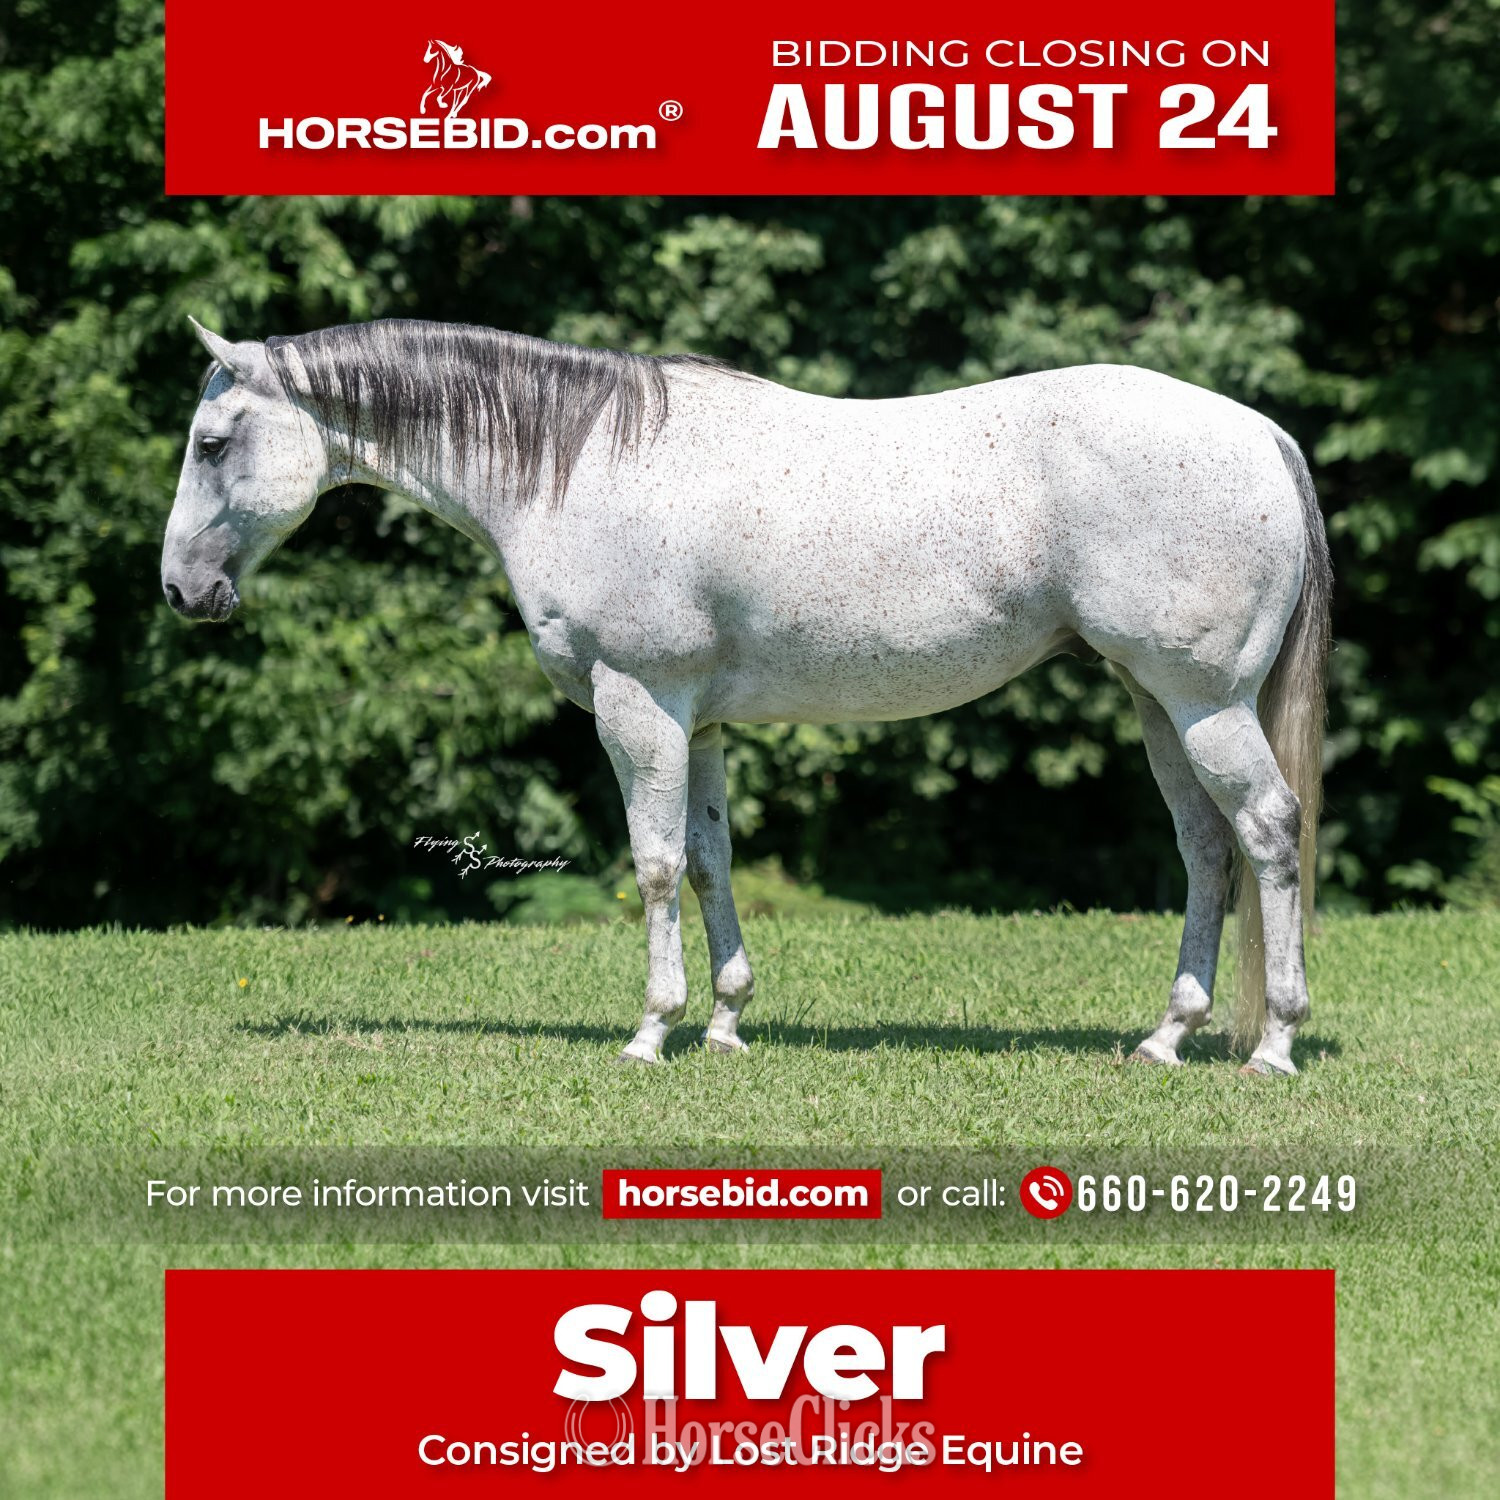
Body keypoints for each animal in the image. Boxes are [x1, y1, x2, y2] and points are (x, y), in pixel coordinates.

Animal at [161, 317, 1331, 1075]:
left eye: (213, 445)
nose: (182, 590)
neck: (583, 463)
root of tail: (1260, 433)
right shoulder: (703, 721)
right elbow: (711, 859)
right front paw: (725, 1025)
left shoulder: (639, 704)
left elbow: (653, 863)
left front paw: (651, 1032)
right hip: (1158, 706)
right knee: (1207, 849)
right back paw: (1167, 1038)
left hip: (1204, 705)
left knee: (1270, 832)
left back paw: (1273, 1044)